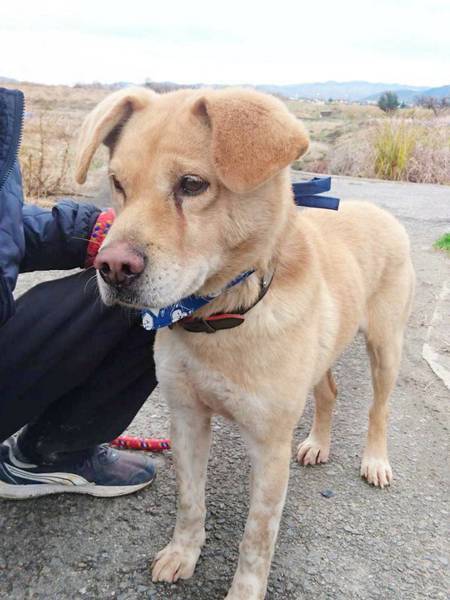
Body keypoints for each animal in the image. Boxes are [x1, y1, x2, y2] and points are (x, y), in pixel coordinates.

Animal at [75, 87, 415, 600]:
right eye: (118, 184)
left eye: (191, 184)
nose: (112, 268)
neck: (220, 319)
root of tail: (377, 210)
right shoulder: (187, 418)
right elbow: (190, 502)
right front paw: (183, 554)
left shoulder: (270, 446)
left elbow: (257, 537)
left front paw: (244, 591)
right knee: (329, 393)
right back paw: (317, 443)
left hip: (385, 348)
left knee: (380, 409)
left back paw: (375, 460)